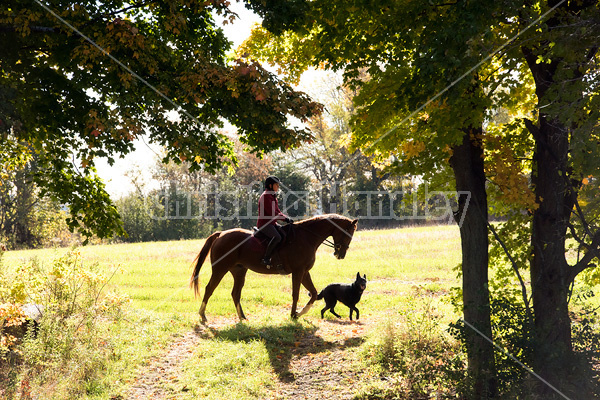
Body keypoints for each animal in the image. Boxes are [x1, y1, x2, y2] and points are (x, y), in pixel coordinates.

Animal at [190, 212, 356, 322]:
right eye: (348, 233)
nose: (340, 254)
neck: (307, 237)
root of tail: (221, 234)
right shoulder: (298, 272)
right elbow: (296, 294)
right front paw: (293, 315)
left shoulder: (304, 272)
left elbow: (314, 293)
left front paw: (300, 313)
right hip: (220, 269)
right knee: (210, 289)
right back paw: (202, 315)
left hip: (239, 271)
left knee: (235, 293)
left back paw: (242, 317)